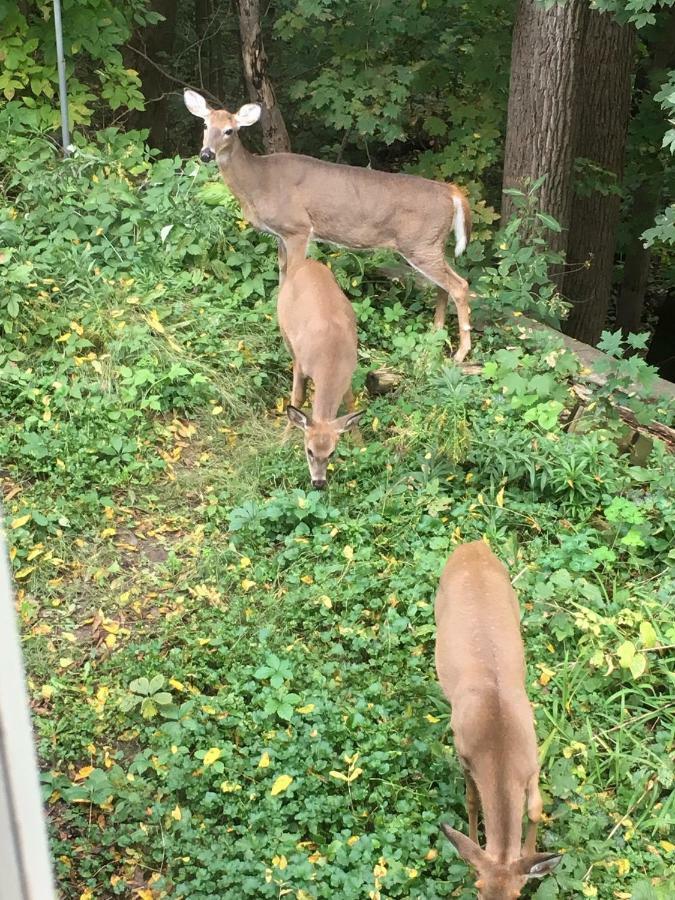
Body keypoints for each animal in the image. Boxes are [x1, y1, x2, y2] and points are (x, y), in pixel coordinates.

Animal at [182, 89, 472, 362]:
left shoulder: (298, 227)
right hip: (432, 244)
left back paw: (460, 354)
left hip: (420, 243)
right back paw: (435, 334)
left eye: (229, 130)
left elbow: (294, 274)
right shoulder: (280, 235)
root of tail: (452, 192)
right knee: (444, 285)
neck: (258, 182)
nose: (206, 154)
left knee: (460, 285)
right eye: (205, 125)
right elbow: (282, 274)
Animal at [278, 256, 364, 488]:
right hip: (284, 329)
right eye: (309, 450)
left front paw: (359, 442)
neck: (330, 361)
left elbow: (351, 403)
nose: (318, 482)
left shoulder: (348, 374)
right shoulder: (301, 365)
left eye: (331, 453)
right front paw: (283, 442)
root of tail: (303, 261)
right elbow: (297, 399)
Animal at [436, 536, 564, 896]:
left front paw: (530, 854)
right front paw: (473, 843)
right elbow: (472, 800)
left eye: (517, 894)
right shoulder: (464, 754)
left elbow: (535, 808)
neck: (499, 747)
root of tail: (473, 545)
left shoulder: (532, 759)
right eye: (479, 887)